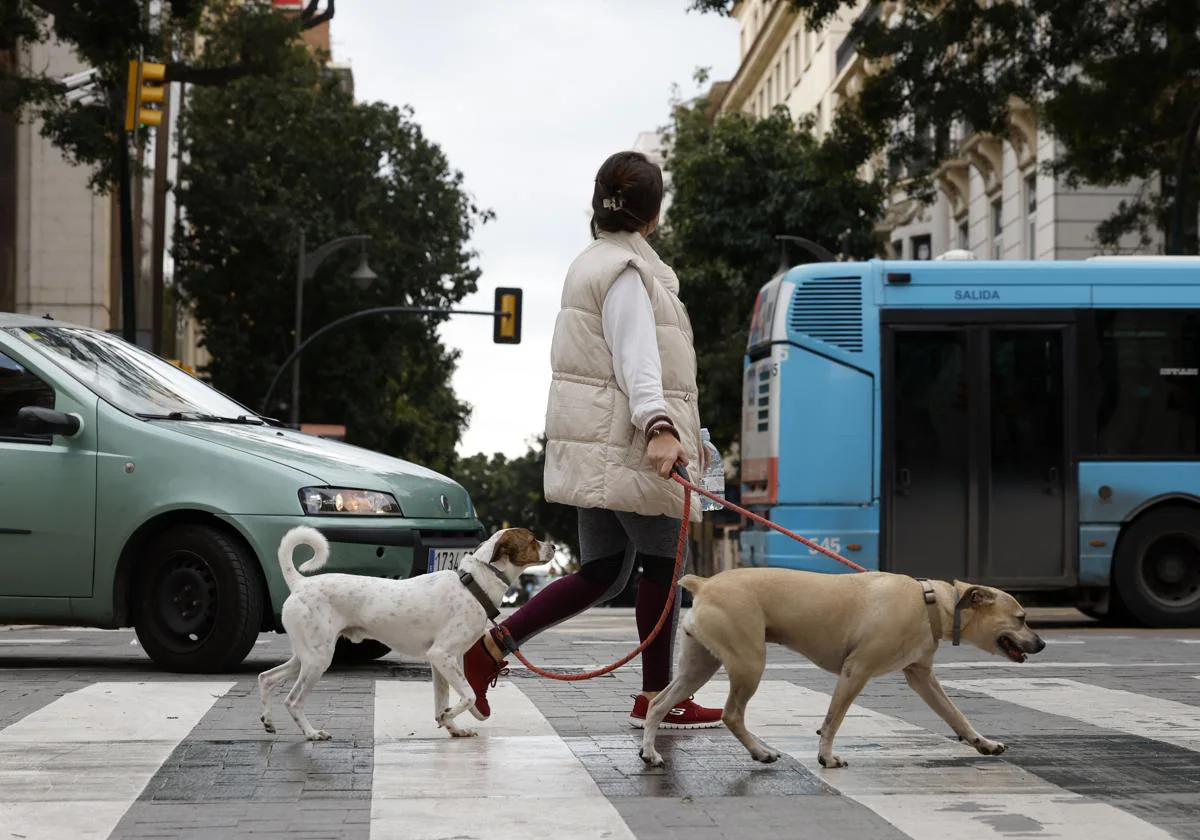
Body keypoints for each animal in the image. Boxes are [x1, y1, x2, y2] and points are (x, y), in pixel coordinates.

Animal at [258, 525, 552, 739]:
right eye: (532, 540)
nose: (554, 546)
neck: (474, 585)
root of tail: (300, 583)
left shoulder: (441, 662)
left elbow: (442, 699)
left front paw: (452, 727)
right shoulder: (442, 655)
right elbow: (468, 696)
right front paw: (448, 717)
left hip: (306, 656)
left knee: (267, 677)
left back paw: (269, 721)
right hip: (318, 660)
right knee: (293, 701)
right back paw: (311, 733)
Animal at [643, 568, 1046, 772]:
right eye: (1021, 618)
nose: (1042, 644)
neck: (932, 603)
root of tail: (703, 584)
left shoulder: (922, 677)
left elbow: (956, 715)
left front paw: (983, 743)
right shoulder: (856, 671)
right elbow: (833, 719)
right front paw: (826, 756)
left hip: (699, 665)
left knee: (659, 704)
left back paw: (650, 753)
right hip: (748, 662)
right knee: (732, 714)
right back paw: (761, 752)